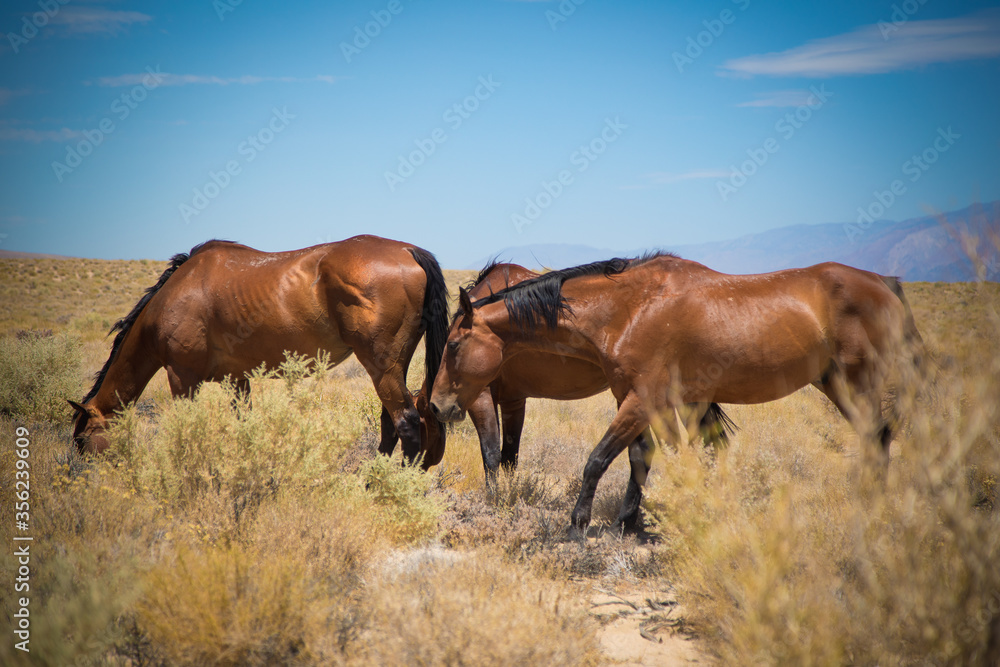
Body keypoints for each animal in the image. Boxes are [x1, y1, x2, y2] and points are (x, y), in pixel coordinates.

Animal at [76, 237, 452, 468]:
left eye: (81, 439)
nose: (78, 473)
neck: (176, 295)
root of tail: (408, 250)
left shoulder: (182, 377)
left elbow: (184, 427)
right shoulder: (237, 380)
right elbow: (245, 425)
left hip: (381, 366)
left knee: (406, 423)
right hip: (391, 369)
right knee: (391, 423)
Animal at [434, 252, 924, 532]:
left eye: (453, 345)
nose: (439, 405)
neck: (630, 308)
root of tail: (884, 282)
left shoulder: (641, 400)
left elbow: (599, 459)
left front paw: (578, 525)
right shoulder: (632, 399)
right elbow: (642, 457)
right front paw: (628, 524)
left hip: (857, 382)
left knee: (877, 437)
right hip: (835, 384)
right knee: (875, 438)